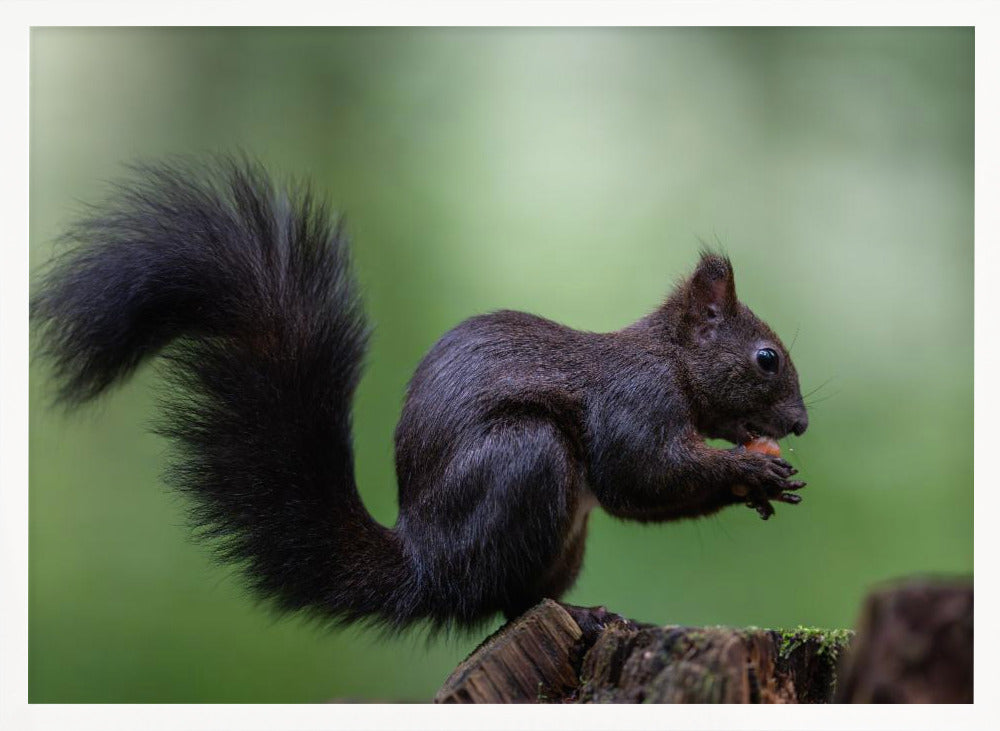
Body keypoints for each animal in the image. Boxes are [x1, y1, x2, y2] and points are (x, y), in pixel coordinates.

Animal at [33, 156, 804, 636]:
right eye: (766, 358)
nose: (798, 423)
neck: (669, 360)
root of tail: (426, 564)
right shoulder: (635, 401)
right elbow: (641, 474)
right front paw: (751, 469)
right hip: (526, 461)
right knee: (503, 599)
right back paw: (580, 616)